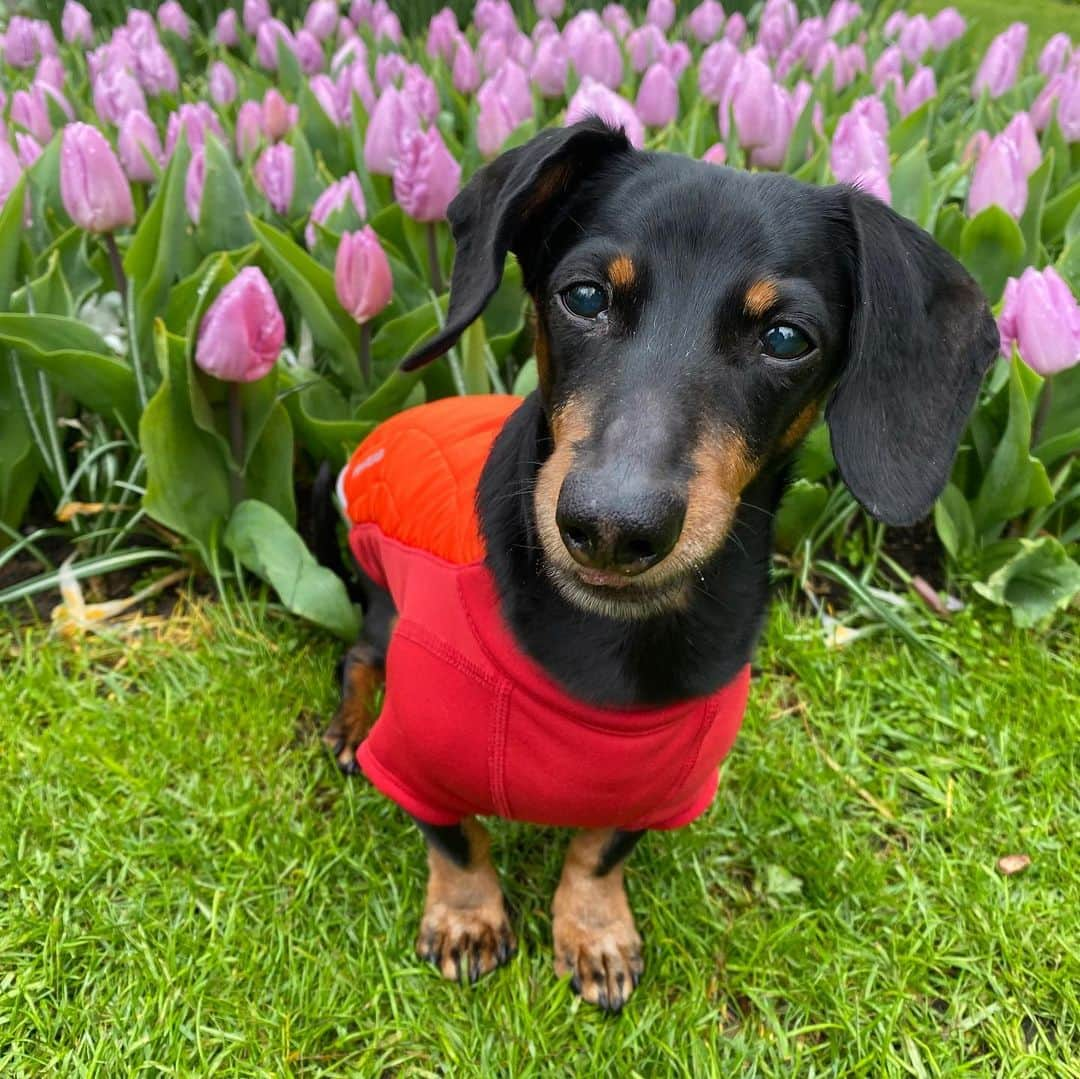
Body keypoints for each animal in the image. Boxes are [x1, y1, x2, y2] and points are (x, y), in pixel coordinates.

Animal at [317, 118, 993, 1010]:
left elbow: (599, 850)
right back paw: (346, 727)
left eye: (786, 337)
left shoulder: (670, 788)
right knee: (359, 658)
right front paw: (467, 918)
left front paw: (593, 931)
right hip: (382, 603)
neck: (612, 641)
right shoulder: (416, 755)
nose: (609, 527)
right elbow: (457, 840)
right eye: (584, 296)